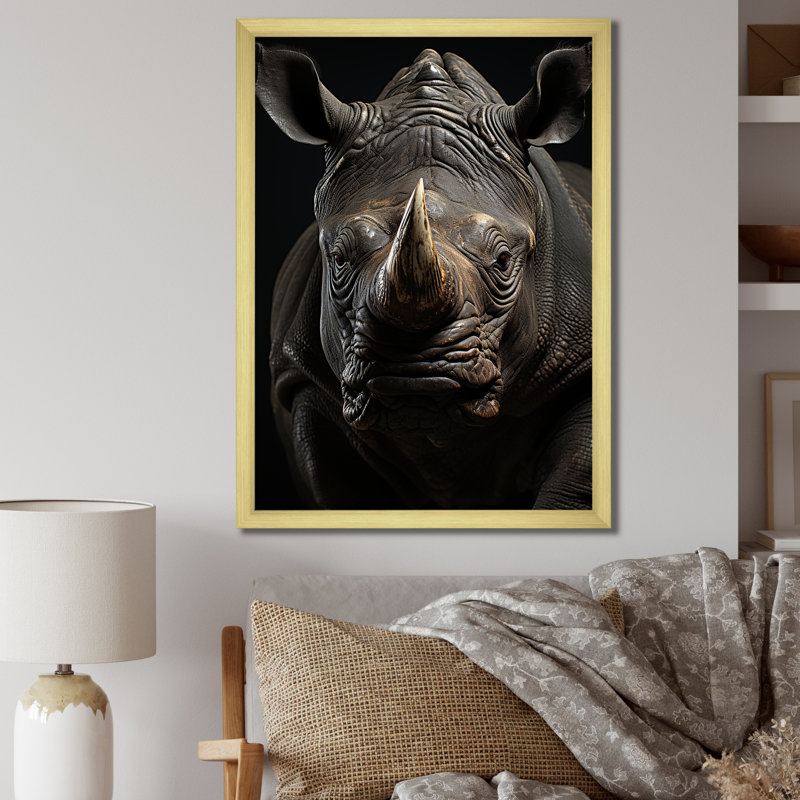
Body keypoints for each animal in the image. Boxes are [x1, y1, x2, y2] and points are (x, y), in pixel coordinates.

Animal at [256, 43, 593, 511]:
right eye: (338, 259)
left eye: (504, 261)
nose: (416, 371)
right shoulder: (304, 378)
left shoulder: (580, 369)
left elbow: (572, 484)